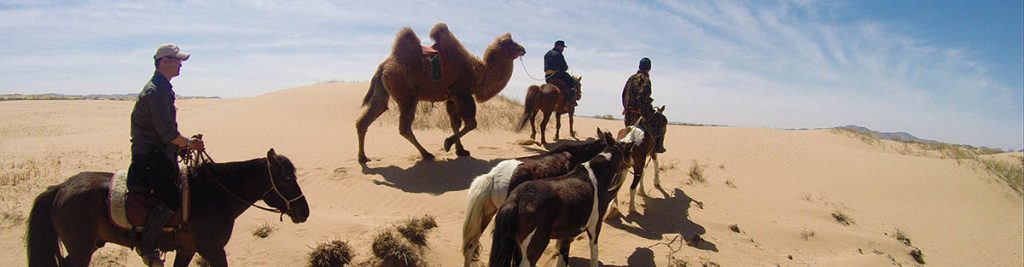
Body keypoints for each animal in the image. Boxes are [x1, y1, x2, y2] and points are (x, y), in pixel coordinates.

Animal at [27, 148, 307, 265]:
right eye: (286, 178)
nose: (304, 211)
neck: (215, 195)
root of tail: (61, 187)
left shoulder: (188, 249)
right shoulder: (213, 250)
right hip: (81, 249)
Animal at [354, 23, 528, 161]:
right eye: (512, 43)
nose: (523, 49)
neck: (478, 73)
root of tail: (383, 66)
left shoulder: (451, 97)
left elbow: (455, 123)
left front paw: (461, 150)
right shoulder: (462, 93)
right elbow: (471, 123)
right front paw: (447, 144)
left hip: (384, 92)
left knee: (369, 116)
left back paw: (363, 157)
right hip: (407, 96)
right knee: (404, 127)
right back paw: (426, 154)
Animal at [487, 137, 630, 265]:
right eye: (625, 151)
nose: (627, 166)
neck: (595, 174)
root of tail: (516, 200)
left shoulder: (568, 232)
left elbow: (563, 257)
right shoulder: (595, 226)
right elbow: (594, 254)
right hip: (534, 248)